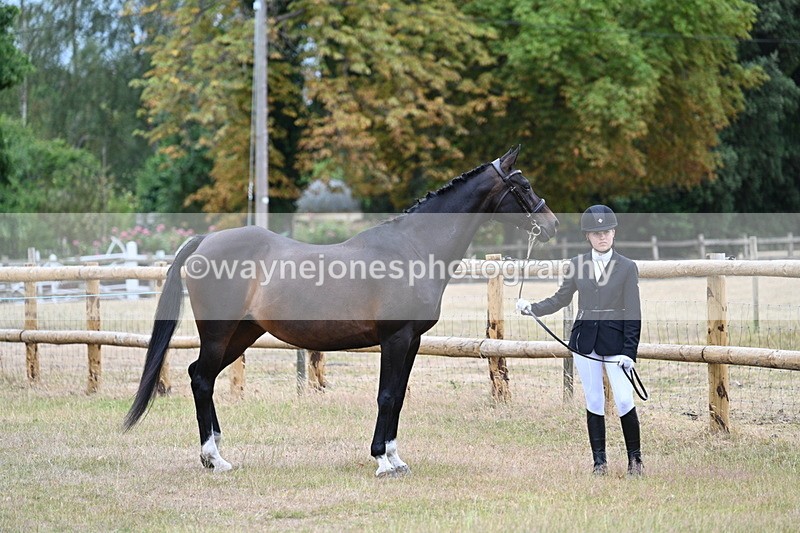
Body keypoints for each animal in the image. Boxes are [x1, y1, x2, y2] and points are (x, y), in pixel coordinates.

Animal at [123, 145, 559, 477]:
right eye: (522, 185)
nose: (552, 224)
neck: (413, 248)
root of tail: (204, 241)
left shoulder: (412, 341)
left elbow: (398, 397)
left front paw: (396, 458)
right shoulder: (395, 338)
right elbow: (387, 395)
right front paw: (382, 461)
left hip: (242, 334)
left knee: (203, 376)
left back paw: (216, 454)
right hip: (218, 333)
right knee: (201, 380)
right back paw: (213, 459)